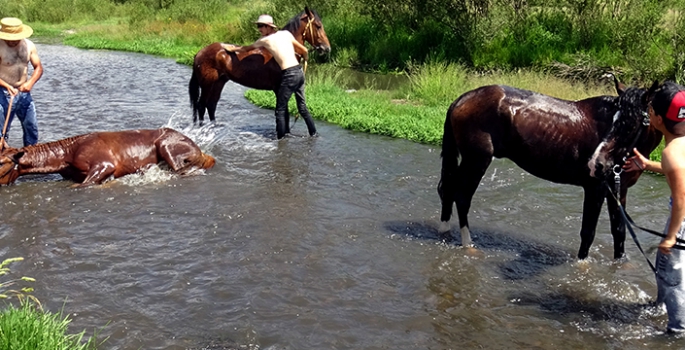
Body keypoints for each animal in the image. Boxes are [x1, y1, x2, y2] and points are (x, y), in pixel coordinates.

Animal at [190, 6, 332, 124]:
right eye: (318, 26)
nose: (326, 48)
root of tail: (200, 53)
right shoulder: (278, 89)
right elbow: (284, 114)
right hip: (208, 84)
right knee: (201, 106)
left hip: (219, 82)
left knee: (211, 105)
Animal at [438, 80, 664, 260]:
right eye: (615, 122)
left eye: (631, 125)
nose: (596, 164)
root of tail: (463, 98)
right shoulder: (595, 188)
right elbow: (588, 232)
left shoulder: (618, 188)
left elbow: (619, 231)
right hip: (476, 161)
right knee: (461, 196)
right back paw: (468, 245)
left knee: (447, 189)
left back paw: (444, 232)